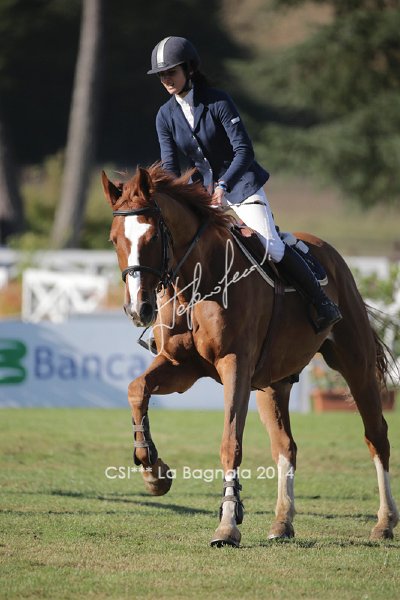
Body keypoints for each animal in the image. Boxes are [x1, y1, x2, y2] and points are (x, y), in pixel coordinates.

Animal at [101, 164, 398, 547]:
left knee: (376, 436)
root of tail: (329, 252)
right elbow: (136, 390)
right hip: (273, 384)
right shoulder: (180, 367)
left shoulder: (235, 366)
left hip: (354, 363)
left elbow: (231, 442)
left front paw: (228, 523)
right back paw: (282, 523)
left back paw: (385, 522)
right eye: (114, 240)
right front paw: (154, 471)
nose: (138, 309)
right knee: (286, 446)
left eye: (152, 238)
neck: (196, 283)